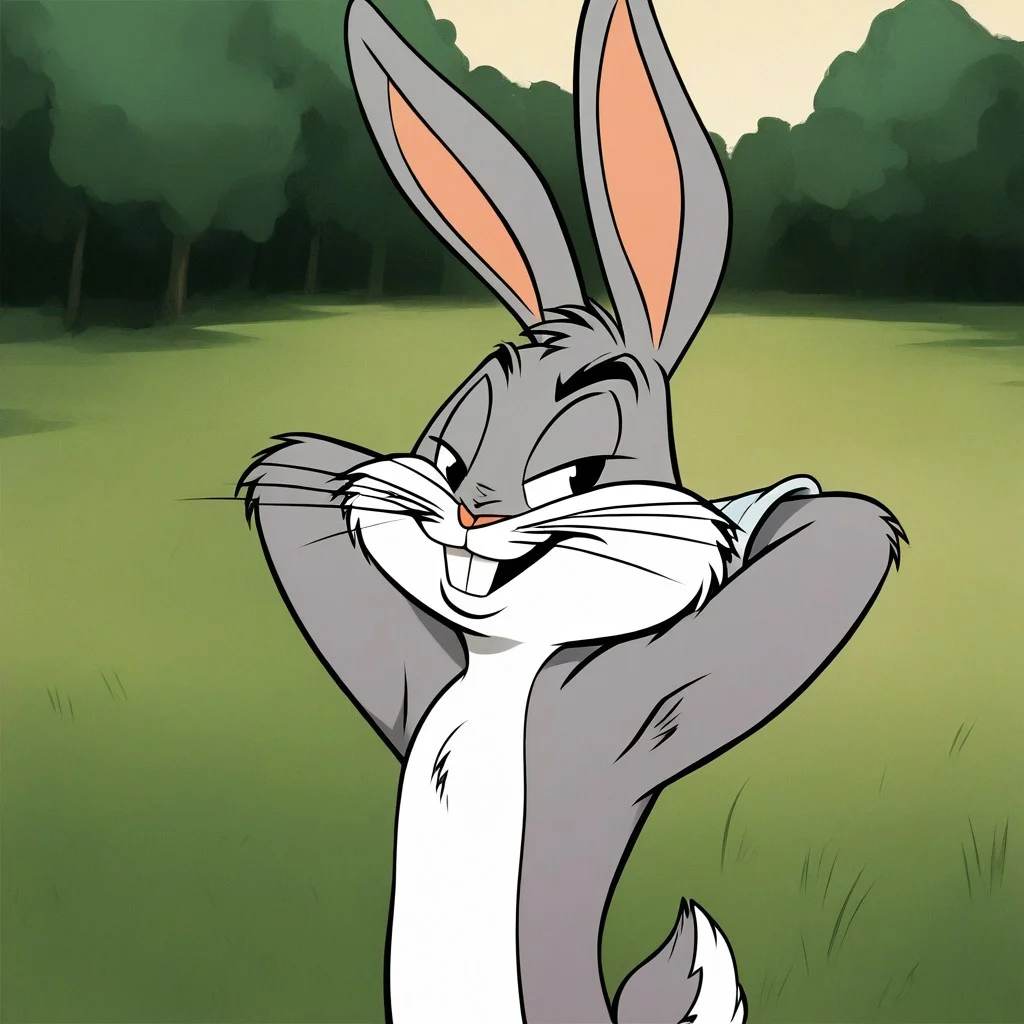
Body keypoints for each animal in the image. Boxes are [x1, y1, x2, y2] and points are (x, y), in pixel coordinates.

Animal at [237, 0, 906, 1021]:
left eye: (577, 475)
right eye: (449, 454)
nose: (470, 512)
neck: (506, 666)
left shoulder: (626, 715)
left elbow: (833, 539)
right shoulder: (415, 680)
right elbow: (307, 495)